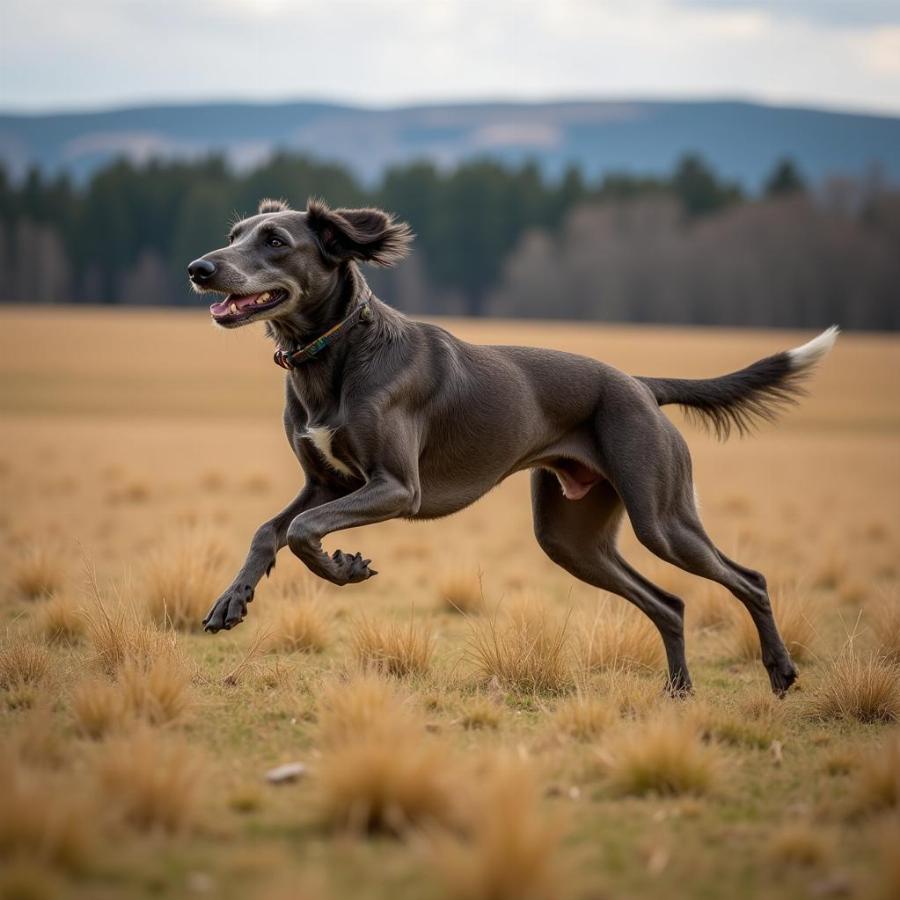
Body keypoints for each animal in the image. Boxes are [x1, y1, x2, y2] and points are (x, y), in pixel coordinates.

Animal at [188, 199, 836, 696]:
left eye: (275, 240)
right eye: (234, 236)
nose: (199, 268)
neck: (335, 353)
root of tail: (640, 385)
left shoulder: (395, 487)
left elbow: (303, 532)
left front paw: (345, 568)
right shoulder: (326, 483)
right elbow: (270, 531)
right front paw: (231, 602)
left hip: (662, 518)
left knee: (749, 579)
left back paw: (780, 672)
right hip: (570, 538)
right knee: (668, 604)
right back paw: (679, 693)